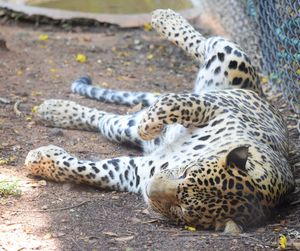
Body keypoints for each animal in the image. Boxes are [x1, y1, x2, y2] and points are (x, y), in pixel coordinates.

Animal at [24, 8, 296, 234]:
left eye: (183, 209)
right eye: (186, 173)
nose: (149, 188)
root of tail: (260, 94)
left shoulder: (134, 171)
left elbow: (90, 170)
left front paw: (40, 160)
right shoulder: (214, 107)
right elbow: (171, 103)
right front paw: (148, 125)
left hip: (121, 129)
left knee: (104, 119)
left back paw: (53, 111)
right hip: (233, 64)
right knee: (207, 44)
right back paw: (163, 17)